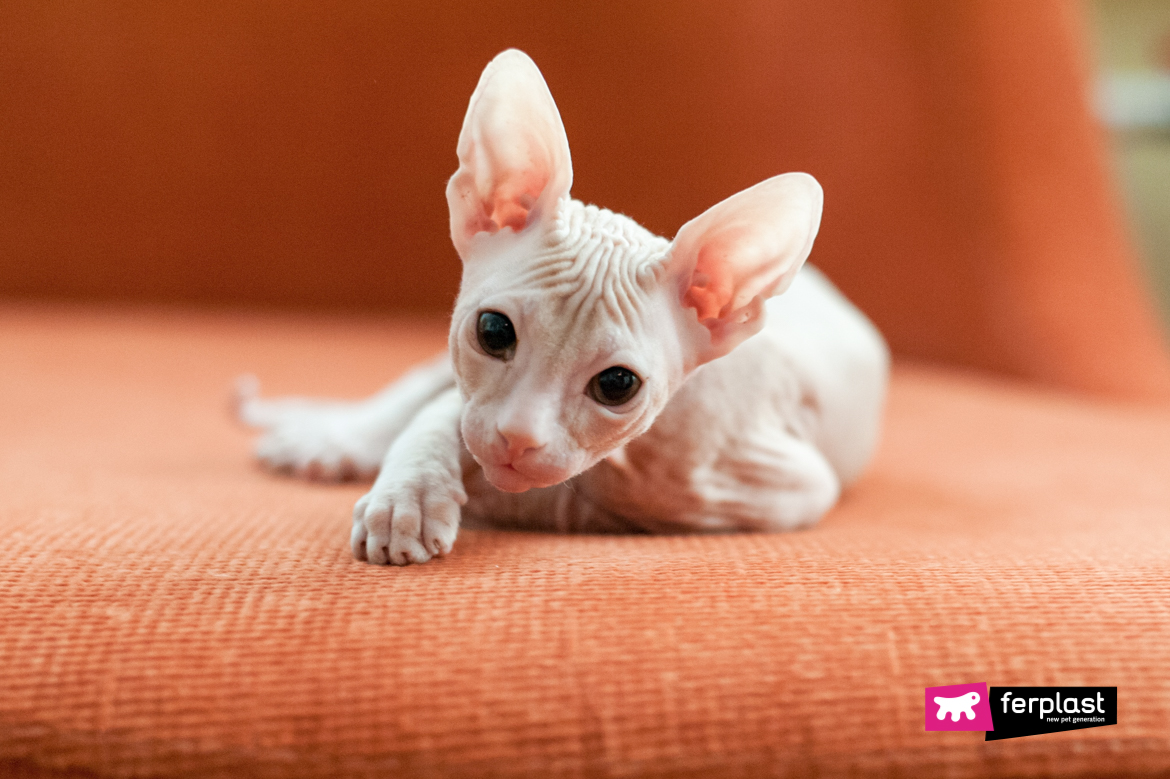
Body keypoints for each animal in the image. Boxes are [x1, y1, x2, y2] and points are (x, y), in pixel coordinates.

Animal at [239, 50, 893, 563]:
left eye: (617, 385)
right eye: (493, 331)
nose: (516, 438)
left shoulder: (785, 484)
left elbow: (591, 496)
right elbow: (443, 414)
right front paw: (410, 497)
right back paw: (333, 437)